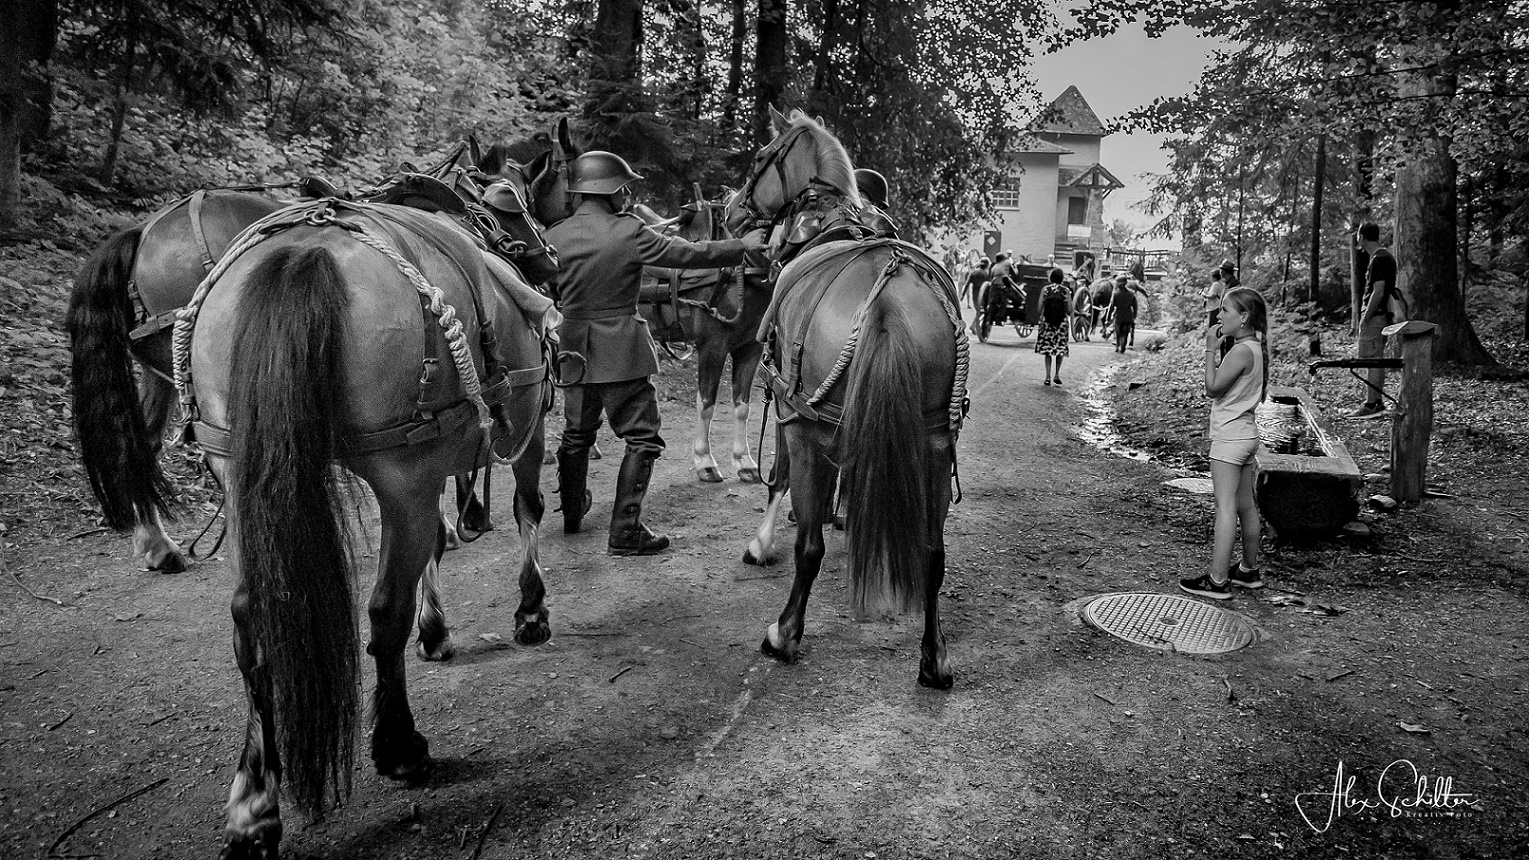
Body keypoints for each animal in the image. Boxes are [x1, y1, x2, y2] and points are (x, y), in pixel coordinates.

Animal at [173, 190, 556, 850]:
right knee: (384, 609)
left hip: (238, 467)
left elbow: (435, 544)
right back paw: (400, 747)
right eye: (524, 210)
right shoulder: (515, 435)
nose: (548, 256)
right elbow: (525, 511)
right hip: (403, 467)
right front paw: (530, 611)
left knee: (252, 617)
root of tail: (306, 250)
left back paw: (254, 803)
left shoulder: (429, 474)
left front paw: (438, 629)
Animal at [721, 107, 960, 685]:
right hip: (935, 442)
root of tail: (887, 302)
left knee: (810, 545)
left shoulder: (789, 407)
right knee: (932, 551)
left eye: (760, 158)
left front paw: (761, 543)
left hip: (808, 424)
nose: (731, 210)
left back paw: (784, 633)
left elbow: (779, 481)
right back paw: (933, 656)